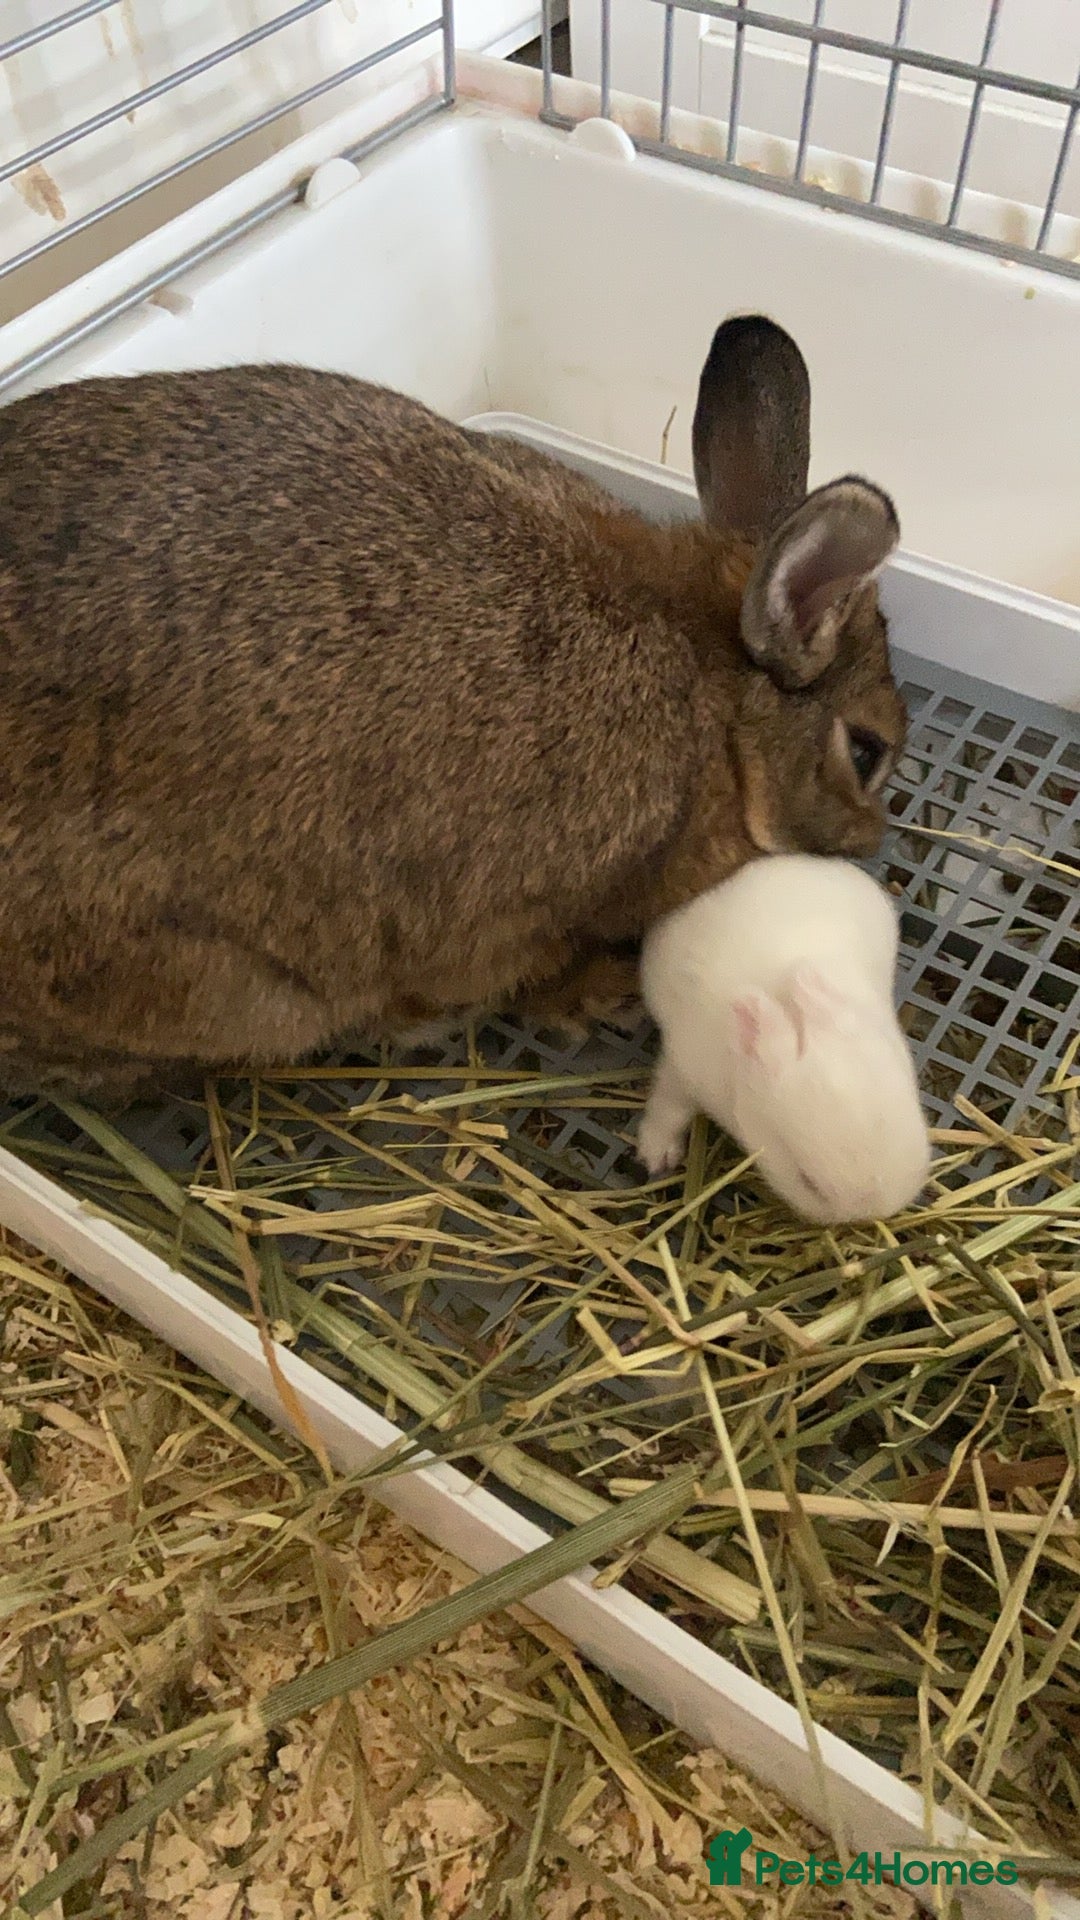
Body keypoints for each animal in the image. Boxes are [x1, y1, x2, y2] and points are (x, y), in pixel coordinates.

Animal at [0, 314, 907, 1100]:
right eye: (866, 752)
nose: (871, 841)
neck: (716, 712)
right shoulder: (519, 915)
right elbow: (523, 969)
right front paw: (595, 994)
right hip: (221, 985)